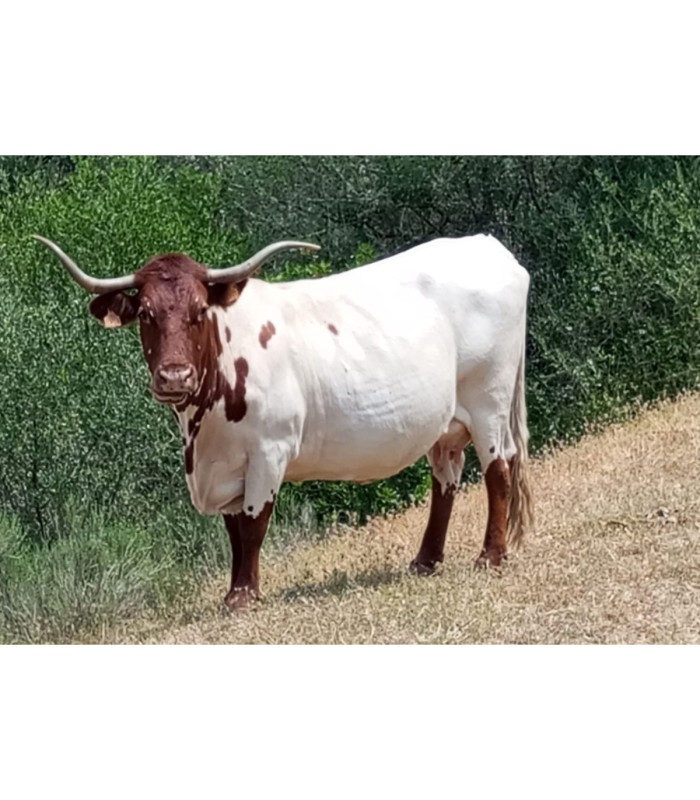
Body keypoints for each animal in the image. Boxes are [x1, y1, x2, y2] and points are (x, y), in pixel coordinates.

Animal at [35, 234, 534, 610]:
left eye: (199, 311)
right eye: (146, 313)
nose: (174, 376)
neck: (201, 433)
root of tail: (489, 247)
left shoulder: (269, 450)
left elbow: (255, 523)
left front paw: (244, 595)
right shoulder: (226, 462)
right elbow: (234, 531)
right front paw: (234, 590)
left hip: (488, 402)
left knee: (498, 470)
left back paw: (491, 556)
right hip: (447, 422)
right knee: (445, 479)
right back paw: (426, 561)